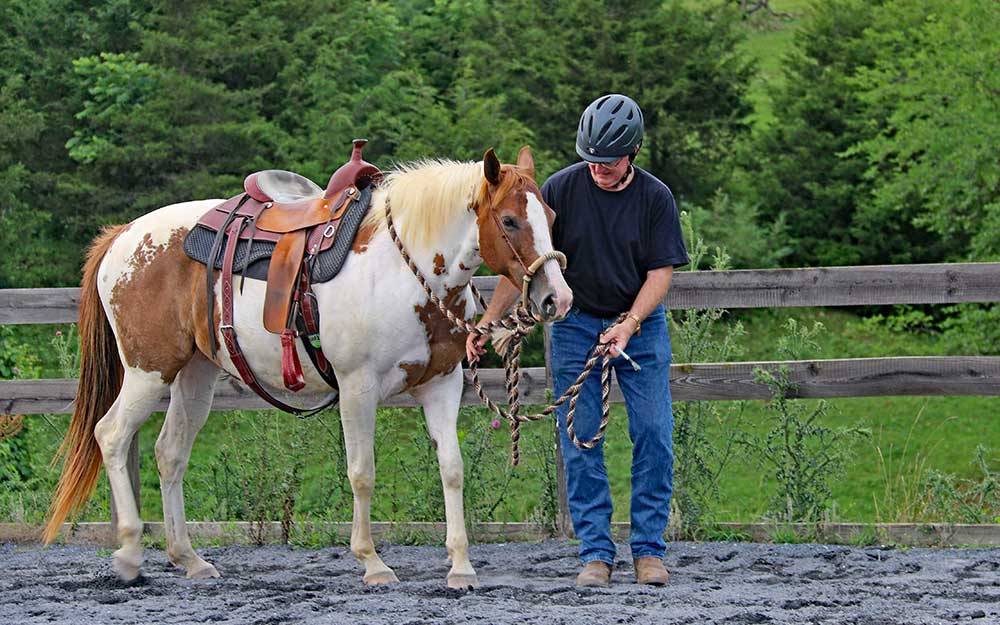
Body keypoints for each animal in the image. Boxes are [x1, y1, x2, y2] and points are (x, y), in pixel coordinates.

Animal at [43, 145, 572, 584]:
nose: (557, 298)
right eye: (510, 220)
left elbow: (453, 469)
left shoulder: (441, 386)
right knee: (112, 435)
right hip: (148, 371)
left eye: (550, 214)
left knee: (170, 452)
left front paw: (460, 566)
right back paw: (131, 553)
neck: (406, 271)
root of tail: (122, 235)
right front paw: (372, 563)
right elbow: (362, 472)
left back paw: (189, 559)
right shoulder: (358, 388)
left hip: (195, 374)